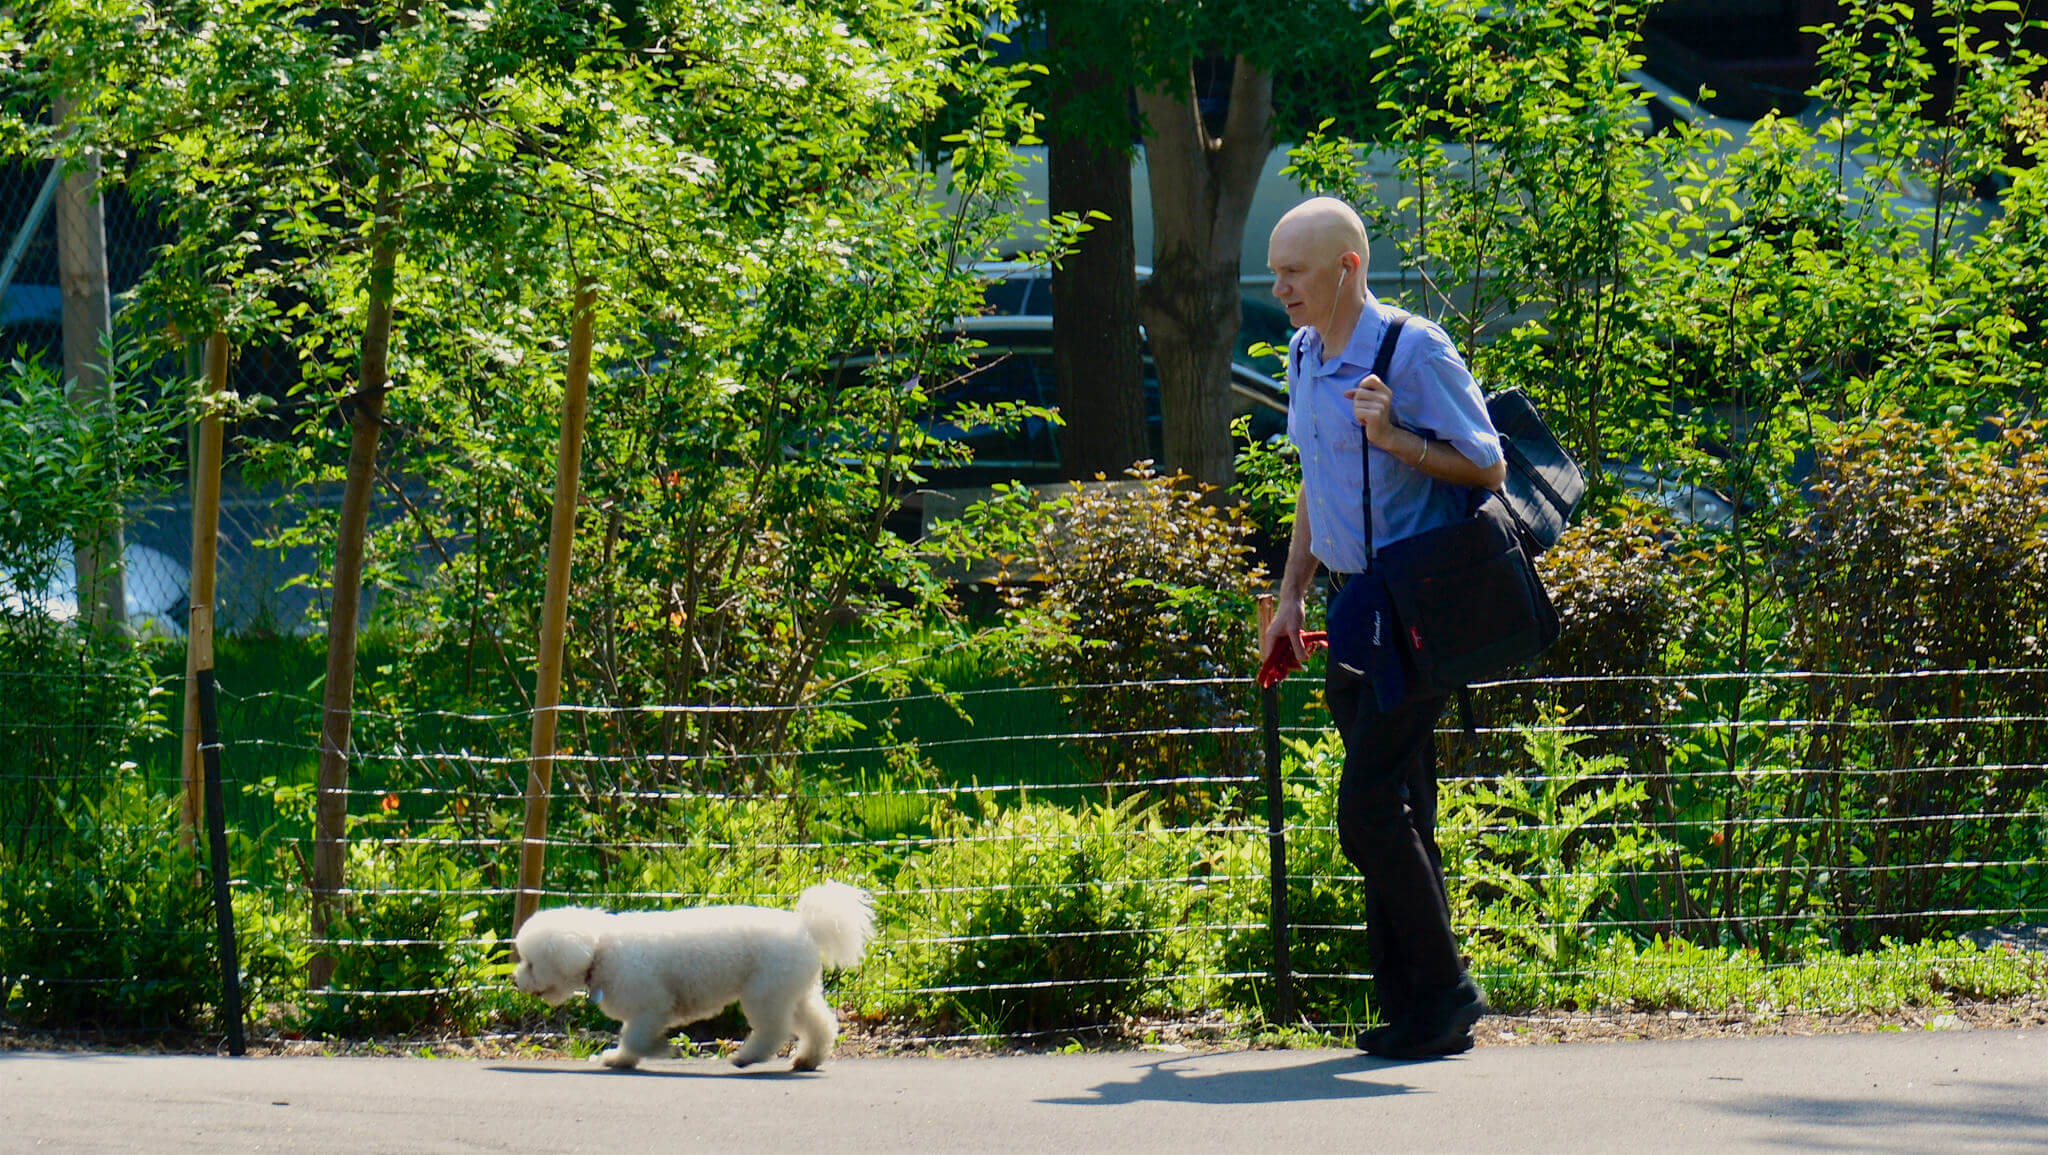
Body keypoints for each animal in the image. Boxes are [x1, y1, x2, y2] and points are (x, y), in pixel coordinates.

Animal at [516, 884, 876, 1073]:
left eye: (531, 963)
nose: (517, 981)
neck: (598, 948)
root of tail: (807, 927)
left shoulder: (650, 1008)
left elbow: (635, 1038)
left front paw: (643, 1053)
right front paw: (623, 1058)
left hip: (765, 993)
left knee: (773, 1030)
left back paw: (747, 1056)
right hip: (793, 991)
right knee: (819, 1024)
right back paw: (807, 1058)